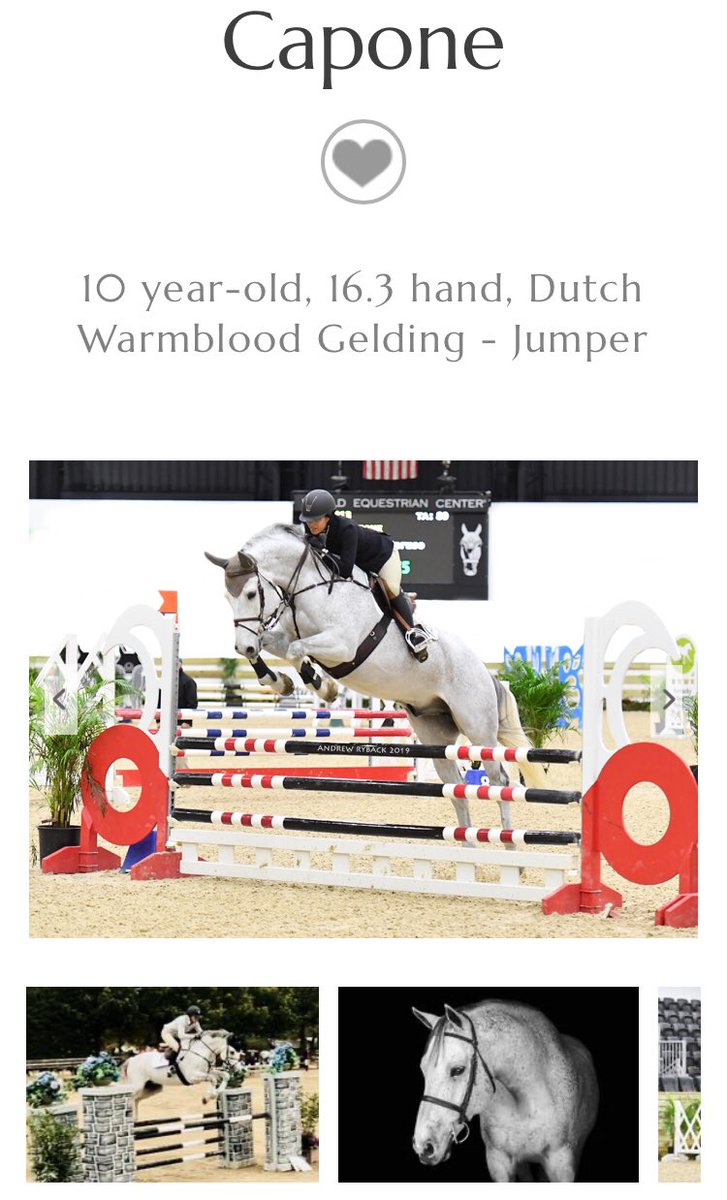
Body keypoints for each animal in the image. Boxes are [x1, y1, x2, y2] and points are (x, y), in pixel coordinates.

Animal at [205, 523, 547, 828]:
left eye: (251, 593)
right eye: (227, 597)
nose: (242, 645)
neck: (309, 588)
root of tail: (485, 673)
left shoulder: (342, 645)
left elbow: (295, 649)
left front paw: (322, 686)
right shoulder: (283, 634)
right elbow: (276, 646)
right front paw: (281, 680)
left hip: (476, 726)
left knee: (499, 779)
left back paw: (506, 839)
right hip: (435, 733)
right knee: (456, 786)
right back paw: (468, 844)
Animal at [412, 1001, 598, 1182]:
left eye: (458, 1070)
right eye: (423, 1069)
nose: (423, 1146)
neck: (526, 1104)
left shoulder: (562, 1166)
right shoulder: (499, 1162)